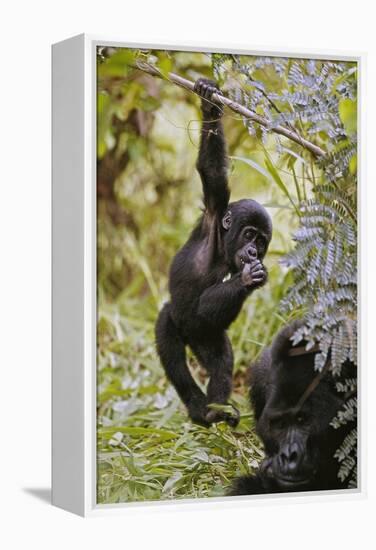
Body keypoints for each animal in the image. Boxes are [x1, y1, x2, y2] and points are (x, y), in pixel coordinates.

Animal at [156, 80, 274, 430]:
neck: (223, 249)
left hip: (204, 338)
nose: (253, 250)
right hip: (175, 322)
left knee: (221, 360)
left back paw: (216, 410)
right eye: (249, 234)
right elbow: (212, 171)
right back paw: (198, 408)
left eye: (262, 241)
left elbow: (209, 307)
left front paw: (251, 277)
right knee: (173, 354)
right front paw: (209, 104)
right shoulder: (213, 209)